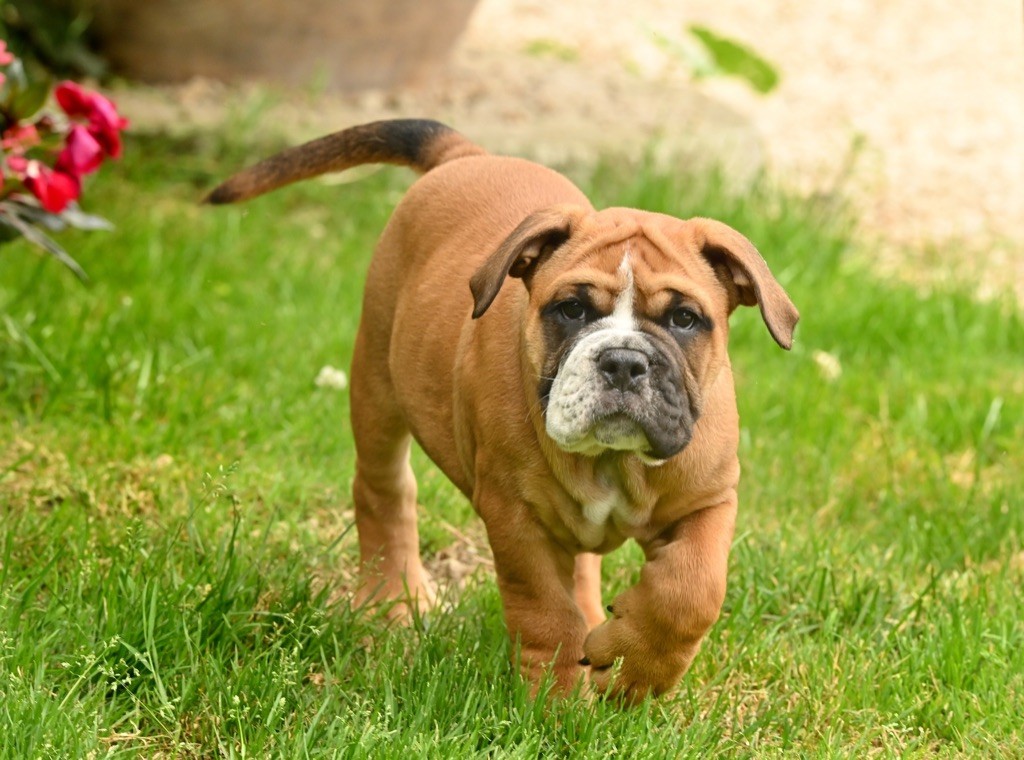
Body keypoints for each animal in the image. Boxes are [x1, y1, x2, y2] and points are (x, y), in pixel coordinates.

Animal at [207, 116, 798, 704]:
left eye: (684, 319)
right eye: (572, 308)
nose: (624, 362)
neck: (613, 464)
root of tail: (466, 155)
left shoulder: (709, 499)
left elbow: (691, 592)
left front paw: (636, 670)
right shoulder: (516, 518)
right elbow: (543, 610)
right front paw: (555, 700)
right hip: (376, 380)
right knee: (383, 491)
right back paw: (390, 599)